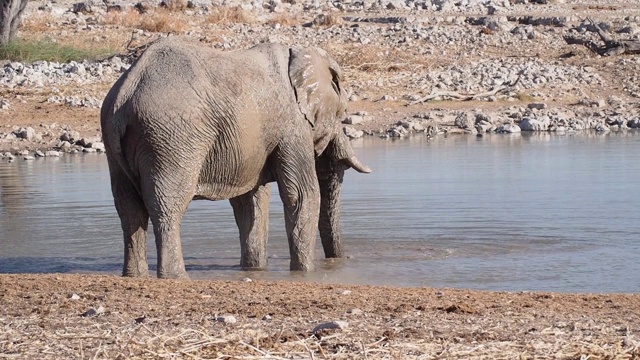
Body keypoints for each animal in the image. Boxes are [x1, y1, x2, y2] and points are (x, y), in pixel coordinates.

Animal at [99, 37, 370, 278]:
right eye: (343, 112)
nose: (341, 260)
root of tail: (124, 95)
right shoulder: (292, 126)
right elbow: (301, 194)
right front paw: (305, 273)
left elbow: (250, 202)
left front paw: (254, 270)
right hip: (170, 139)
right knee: (168, 205)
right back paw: (176, 277)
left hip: (116, 142)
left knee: (128, 207)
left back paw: (134, 276)